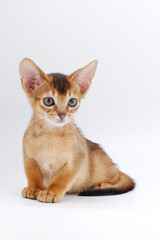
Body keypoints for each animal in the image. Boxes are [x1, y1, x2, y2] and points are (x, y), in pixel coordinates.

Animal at [19, 58, 135, 202]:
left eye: (72, 102)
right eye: (48, 101)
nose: (62, 115)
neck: (51, 134)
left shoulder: (76, 160)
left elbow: (61, 180)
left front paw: (51, 192)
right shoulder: (29, 158)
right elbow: (33, 175)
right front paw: (34, 188)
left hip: (100, 167)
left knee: (117, 176)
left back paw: (101, 184)